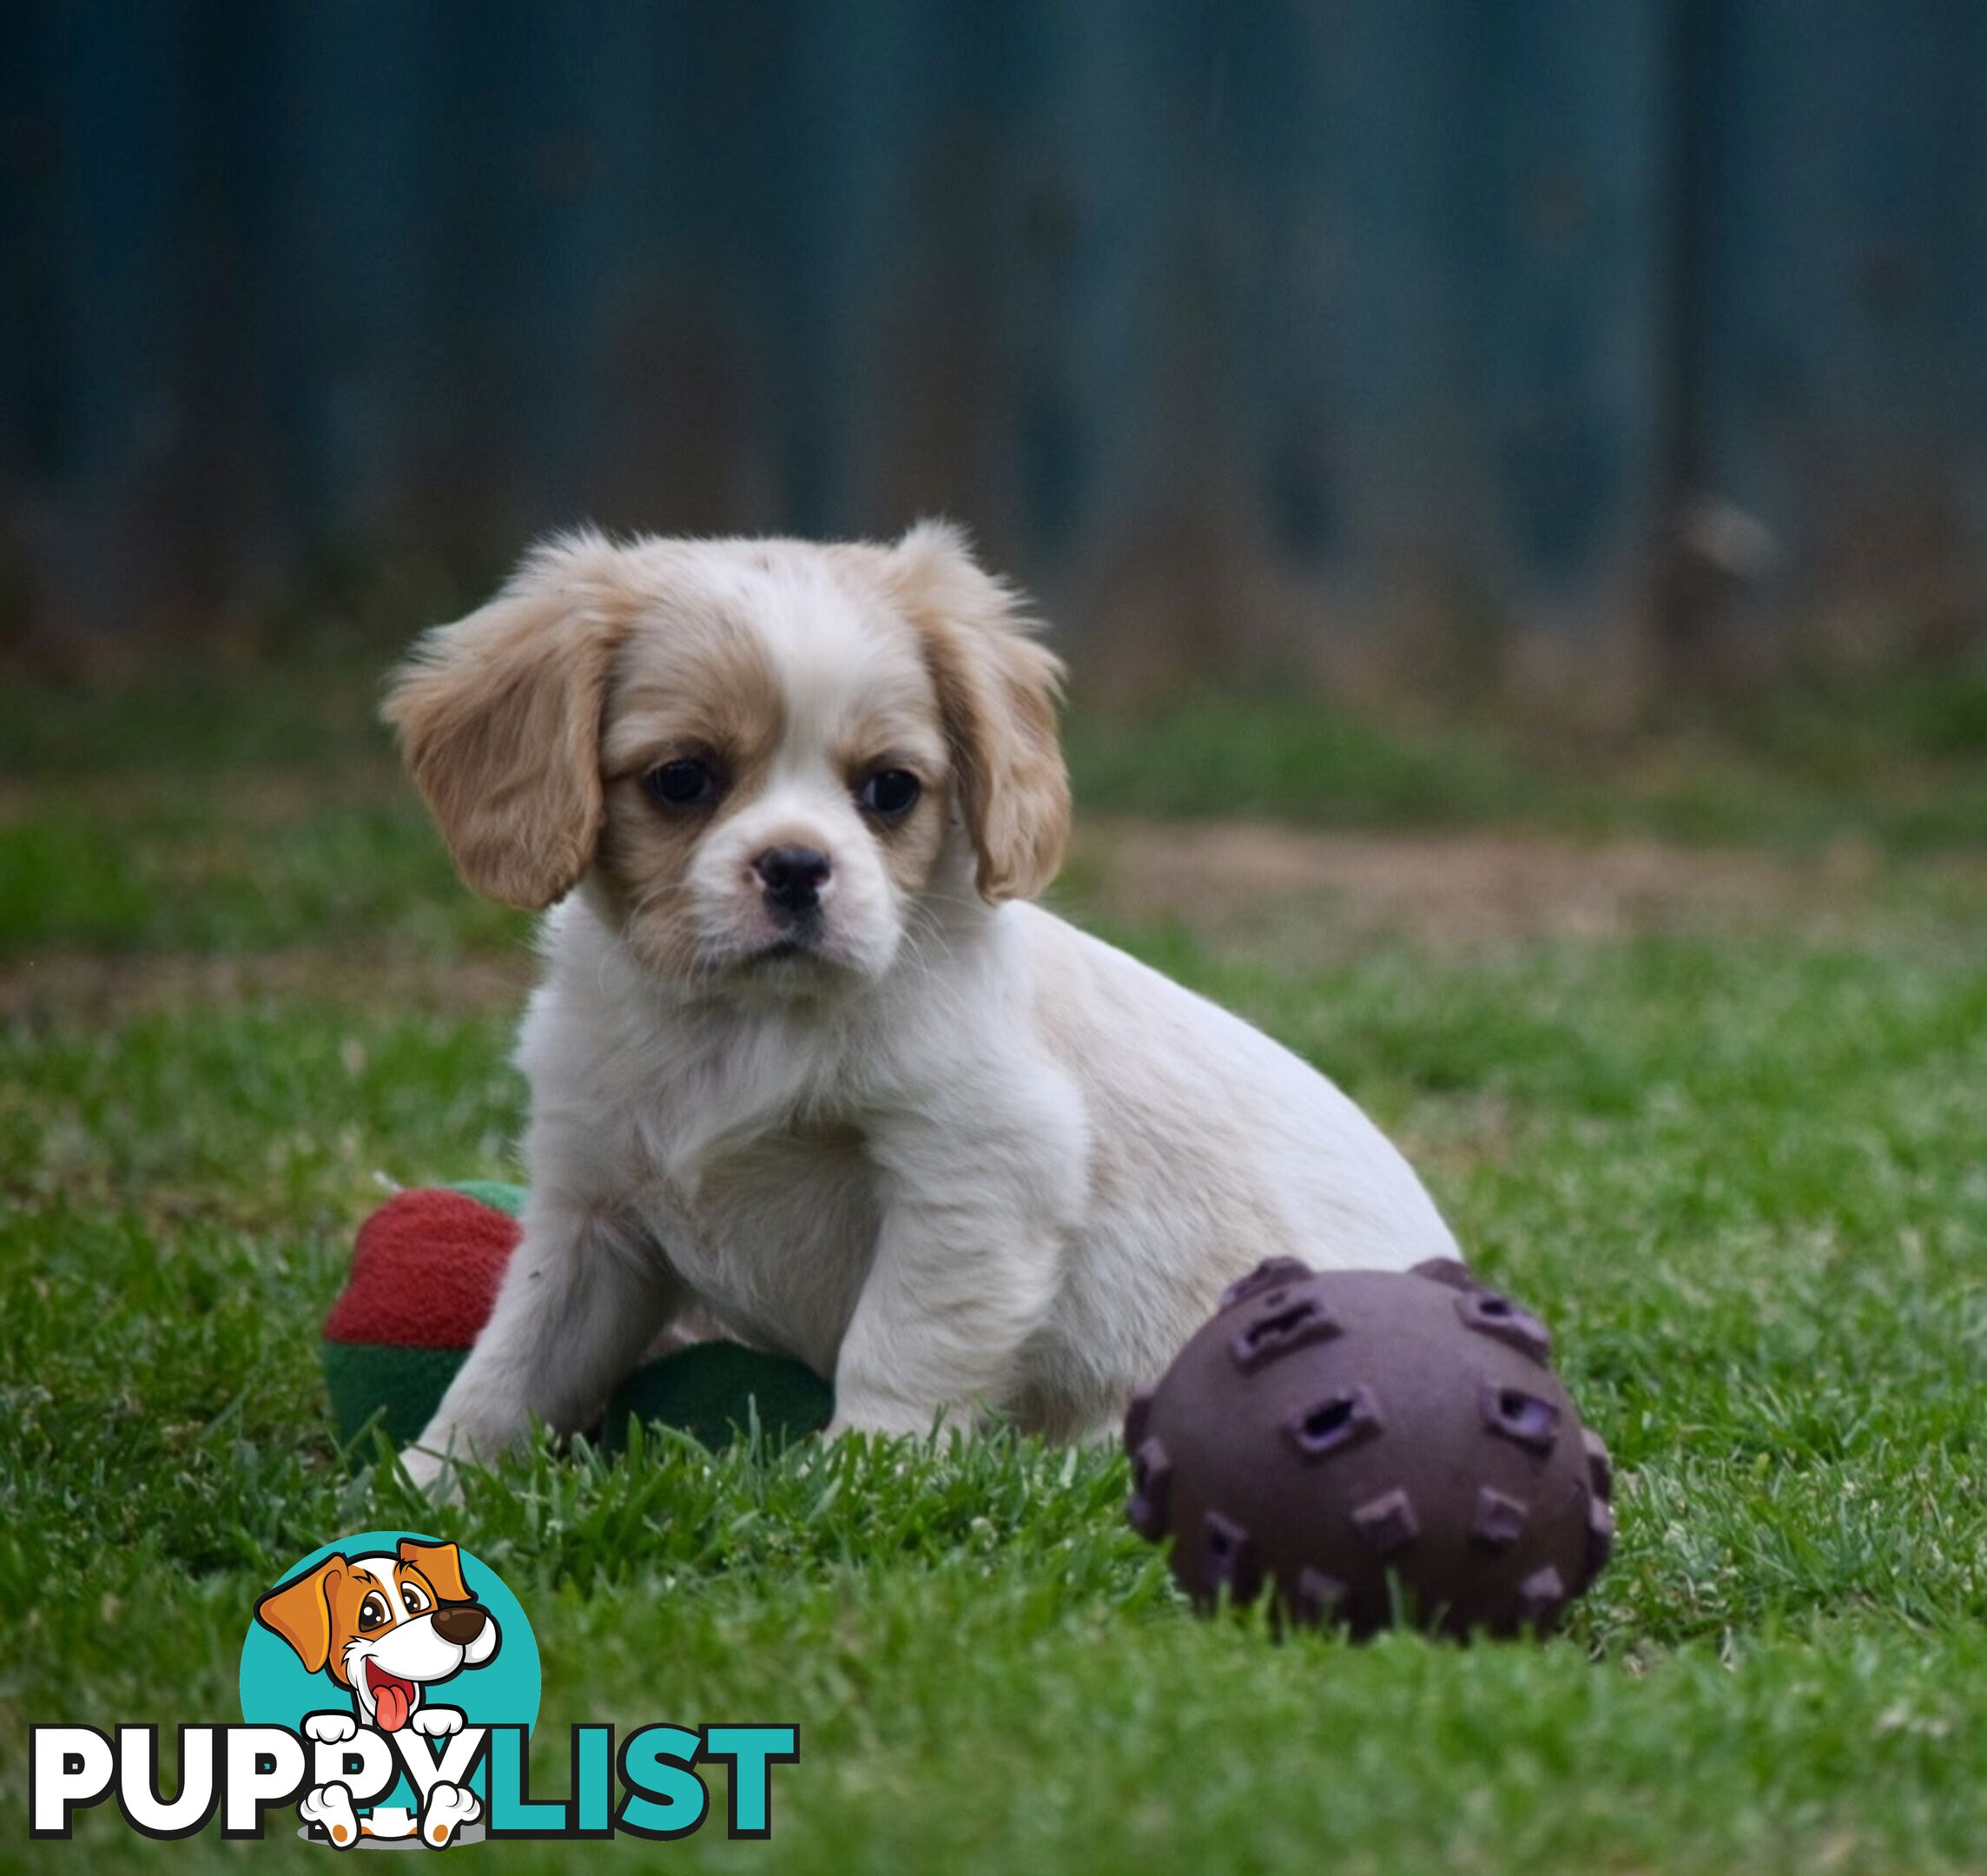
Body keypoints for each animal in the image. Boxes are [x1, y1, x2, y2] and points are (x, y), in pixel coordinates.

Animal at [383, 516, 1462, 1478]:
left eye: (890, 789)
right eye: (682, 779)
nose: (796, 866)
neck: (748, 1023)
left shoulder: (972, 1171)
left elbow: (903, 1339)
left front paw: (862, 1469)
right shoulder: (592, 1209)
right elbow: (513, 1361)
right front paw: (432, 1479)